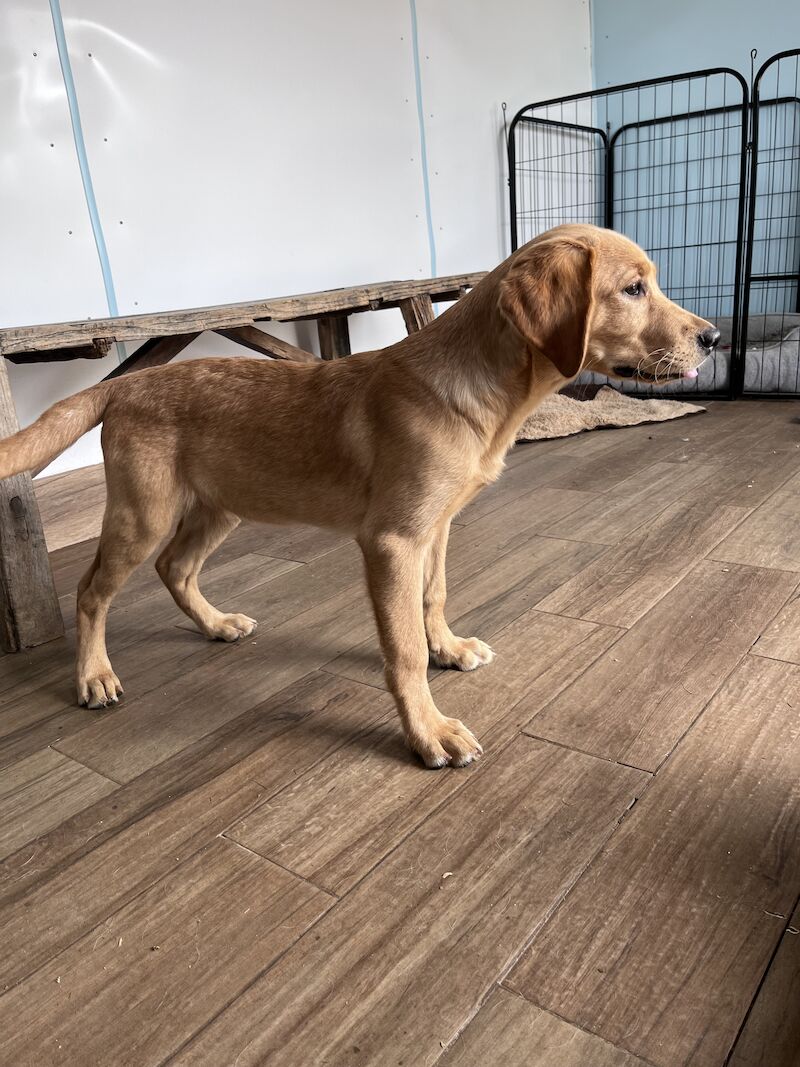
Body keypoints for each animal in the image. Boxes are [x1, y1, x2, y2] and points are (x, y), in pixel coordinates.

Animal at [0, 227, 721, 768]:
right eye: (633, 288)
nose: (713, 338)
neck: (478, 388)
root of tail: (122, 385)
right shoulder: (391, 541)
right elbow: (402, 651)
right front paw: (429, 732)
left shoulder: (436, 527)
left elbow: (433, 598)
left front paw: (449, 648)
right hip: (142, 512)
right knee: (91, 590)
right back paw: (94, 676)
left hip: (221, 503)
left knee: (175, 568)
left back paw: (216, 624)